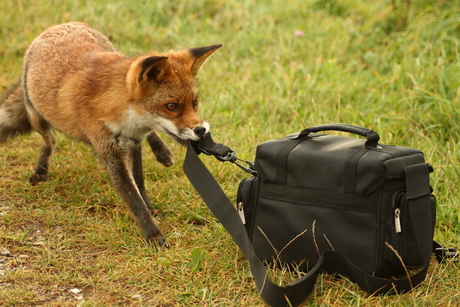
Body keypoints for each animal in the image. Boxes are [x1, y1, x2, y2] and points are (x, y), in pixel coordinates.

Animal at [0, 21, 223, 248]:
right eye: (171, 106)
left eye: (194, 103)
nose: (201, 130)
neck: (124, 117)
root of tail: (59, 26)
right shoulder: (112, 153)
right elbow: (133, 198)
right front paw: (153, 234)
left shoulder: (134, 143)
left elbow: (139, 182)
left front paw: (150, 209)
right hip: (37, 117)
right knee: (49, 141)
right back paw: (41, 171)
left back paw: (162, 152)